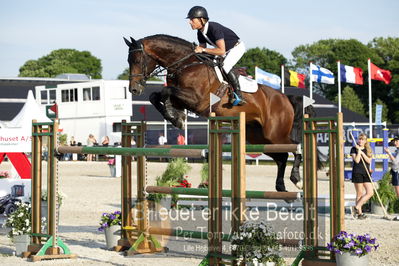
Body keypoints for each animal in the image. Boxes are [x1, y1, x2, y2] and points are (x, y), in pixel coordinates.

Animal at [125, 34, 310, 192]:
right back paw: (281, 186)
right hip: (259, 137)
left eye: (138, 59)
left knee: (295, 147)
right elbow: (156, 96)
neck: (185, 65)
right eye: (128, 60)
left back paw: (297, 180)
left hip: (275, 133)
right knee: (282, 157)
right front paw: (175, 116)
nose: (134, 89)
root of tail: (285, 98)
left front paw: (176, 117)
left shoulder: (197, 100)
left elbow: (166, 91)